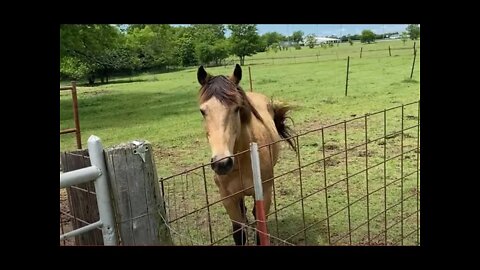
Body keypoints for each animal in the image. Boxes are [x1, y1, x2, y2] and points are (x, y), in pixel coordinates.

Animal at [196, 63, 296, 245]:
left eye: (237, 108)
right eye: (202, 111)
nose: (222, 163)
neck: (242, 160)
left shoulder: (264, 193)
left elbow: (260, 229)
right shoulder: (227, 198)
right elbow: (238, 232)